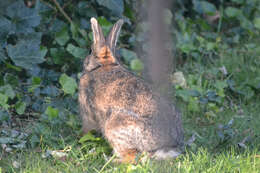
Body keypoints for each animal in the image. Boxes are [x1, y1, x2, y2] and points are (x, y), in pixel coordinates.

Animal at [78, 17, 184, 164]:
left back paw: (111, 160)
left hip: (115, 128)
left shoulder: (87, 113)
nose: (85, 61)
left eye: (89, 50)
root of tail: (166, 147)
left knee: (132, 157)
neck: (104, 64)